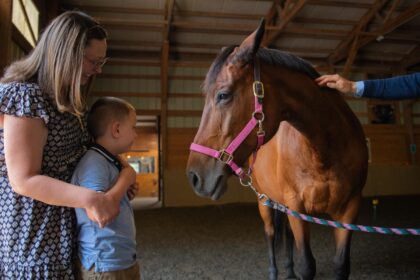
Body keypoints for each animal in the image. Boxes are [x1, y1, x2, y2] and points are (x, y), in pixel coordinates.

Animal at [187, 20, 368, 280]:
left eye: (223, 95)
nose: (194, 177)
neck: (324, 152)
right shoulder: (295, 208)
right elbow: (306, 265)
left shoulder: (348, 210)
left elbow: (340, 264)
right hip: (265, 202)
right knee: (271, 232)